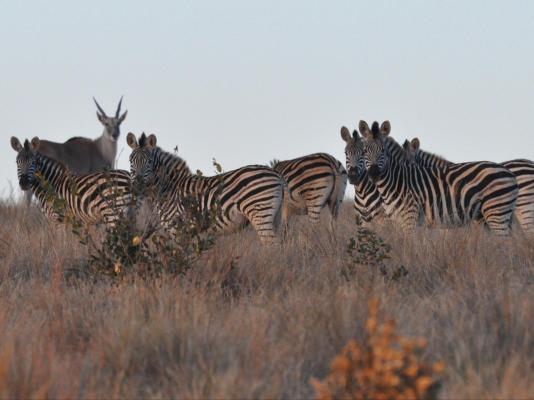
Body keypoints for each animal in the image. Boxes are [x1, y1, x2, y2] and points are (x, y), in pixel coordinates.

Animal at [126, 132, 284, 244]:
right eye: (131, 161)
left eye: (149, 162)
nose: (137, 185)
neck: (168, 187)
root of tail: (276, 174)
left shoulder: (177, 229)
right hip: (274, 216)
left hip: (260, 213)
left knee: (272, 246)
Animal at [360, 122, 520, 234]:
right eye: (364, 151)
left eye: (383, 151)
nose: (374, 173)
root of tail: (509, 173)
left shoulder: (411, 218)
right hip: (491, 215)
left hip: (496, 212)